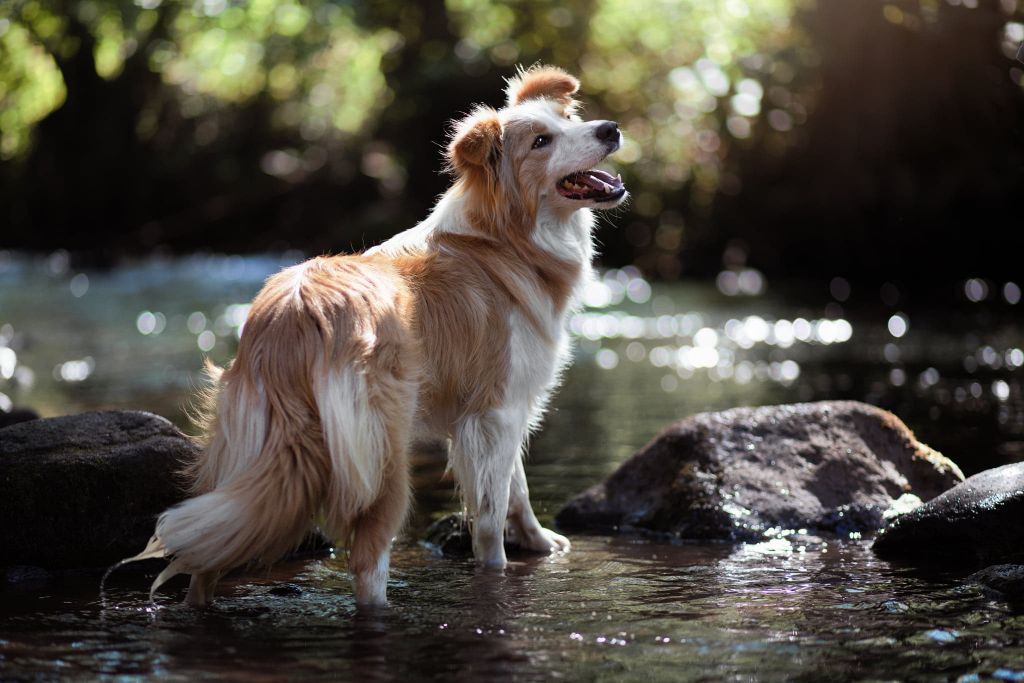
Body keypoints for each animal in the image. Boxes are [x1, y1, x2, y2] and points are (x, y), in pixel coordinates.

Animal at [125, 66, 622, 606]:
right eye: (541, 141)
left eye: (567, 118)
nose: (611, 129)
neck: (504, 239)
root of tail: (299, 311)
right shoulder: (496, 412)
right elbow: (494, 514)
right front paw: (505, 568)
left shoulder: (494, 415)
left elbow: (518, 488)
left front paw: (540, 543)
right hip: (383, 458)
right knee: (366, 562)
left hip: (248, 449)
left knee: (207, 556)